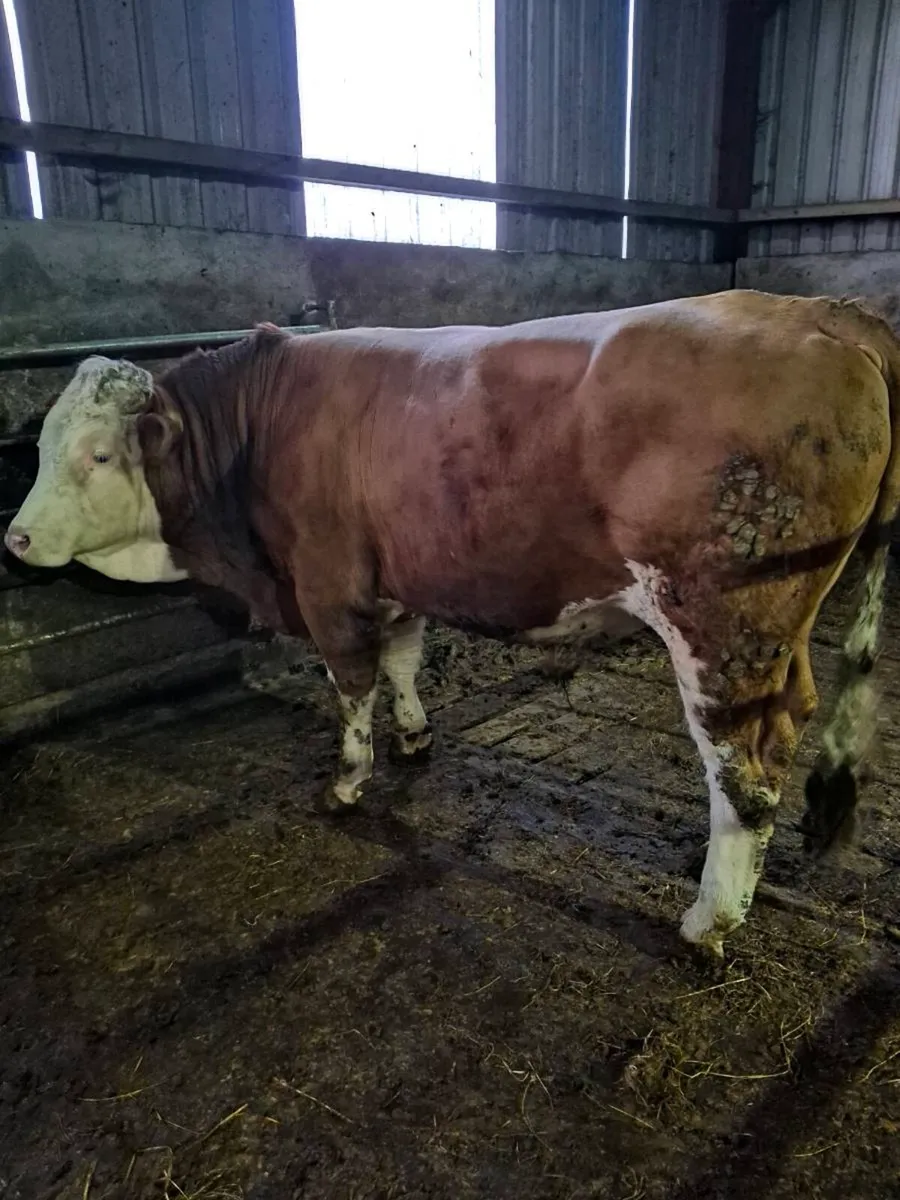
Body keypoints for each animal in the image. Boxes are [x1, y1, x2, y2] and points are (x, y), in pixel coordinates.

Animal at [6, 290, 900, 958]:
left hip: (720, 626)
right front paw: (414, 738)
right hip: (777, 638)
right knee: (790, 728)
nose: (15, 538)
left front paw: (347, 782)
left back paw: (707, 921)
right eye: (42, 445)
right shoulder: (394, 577)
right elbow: (403, 661)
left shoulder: (328, 582)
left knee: (742, 775)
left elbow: (352, 684)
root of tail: (821, 311)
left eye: (98, 454)